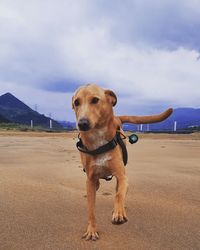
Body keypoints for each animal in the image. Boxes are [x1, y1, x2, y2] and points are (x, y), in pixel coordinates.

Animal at [72, 84, 173, 240]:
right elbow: (91, 209)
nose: (82, 123)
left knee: (118, 191)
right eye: (76, 102)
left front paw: (119, 213)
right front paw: (91, 229)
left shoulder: (122, 176)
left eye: (95, 100)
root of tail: (117, 118)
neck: (98, 140)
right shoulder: (90, 179)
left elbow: (119, 194)